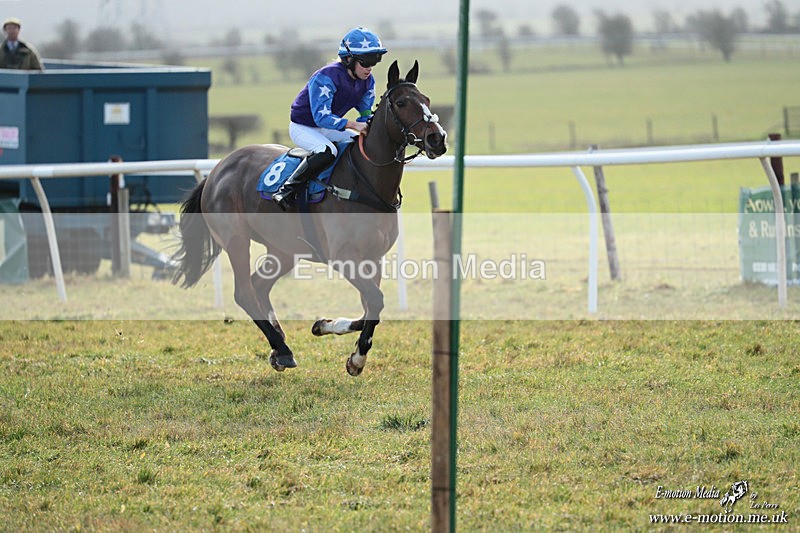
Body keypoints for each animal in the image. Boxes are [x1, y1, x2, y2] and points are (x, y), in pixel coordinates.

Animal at [171, 60, 447, 376]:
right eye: (401, 103)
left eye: (426, 100)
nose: (437, 138)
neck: (365, 182)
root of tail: (216, 171)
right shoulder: (344, 256)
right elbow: (375, 302)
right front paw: (357, 357)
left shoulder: (373, 257)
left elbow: (370, 308)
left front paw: (327, 328)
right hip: (236, 240)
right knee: (244, 293)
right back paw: (281, 348)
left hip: (284, 249)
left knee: (259, 285)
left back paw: (279, 346)